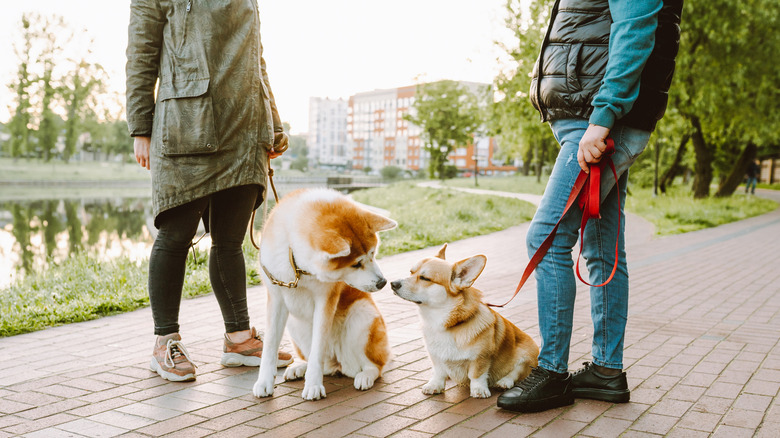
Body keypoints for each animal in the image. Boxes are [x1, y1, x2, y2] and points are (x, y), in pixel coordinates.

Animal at [251, 188, 396, 400]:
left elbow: (317, 348)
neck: (297, 267)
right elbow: (269, 346)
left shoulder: (325, 300)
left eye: (372, 254)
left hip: (362, 315)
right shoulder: (276, 298)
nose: (382, 282)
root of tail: (338, 363)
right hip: (295, 324)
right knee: (320, 363)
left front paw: (313, 385)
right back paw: (300, 368)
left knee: (375, 366)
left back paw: (365, 376)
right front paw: (263, 382)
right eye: (356, 264)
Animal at [388, 245, 536, 398]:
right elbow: (438, 372)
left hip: (527, 356)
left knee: (516, 372)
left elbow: (477, 374)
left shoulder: (481, 357)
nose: (393, 284)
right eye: (411, 272)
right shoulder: (435, 356)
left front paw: (479, 390)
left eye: (425, 278)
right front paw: (435, 385)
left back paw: (504, 382)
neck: (442, 322)